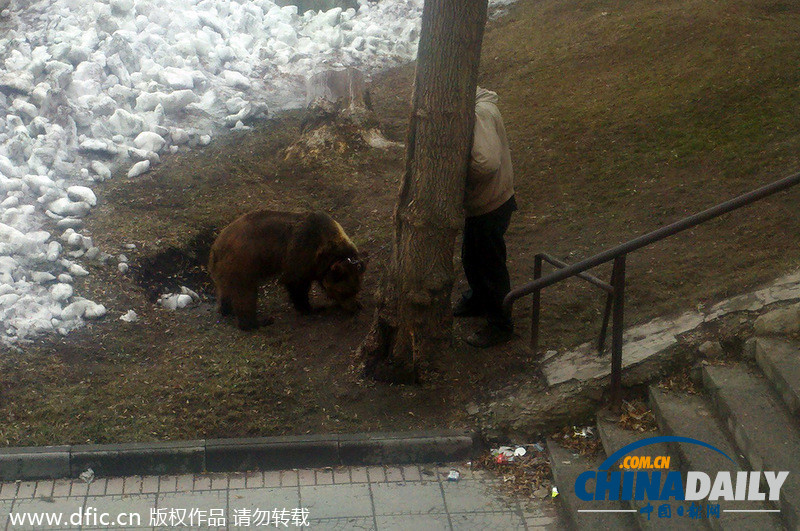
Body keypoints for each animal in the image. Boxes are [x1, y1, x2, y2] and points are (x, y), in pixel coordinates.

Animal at [208, 211, 368, 328]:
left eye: (356, 290)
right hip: (243, 262)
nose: (354, 308)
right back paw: (257, 322)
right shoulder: (301, 254)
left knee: (226, 289)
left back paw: (226, 309)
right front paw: (310, 308)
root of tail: (216, 247)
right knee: (244, 294)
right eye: (344, 292)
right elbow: (296, 284)